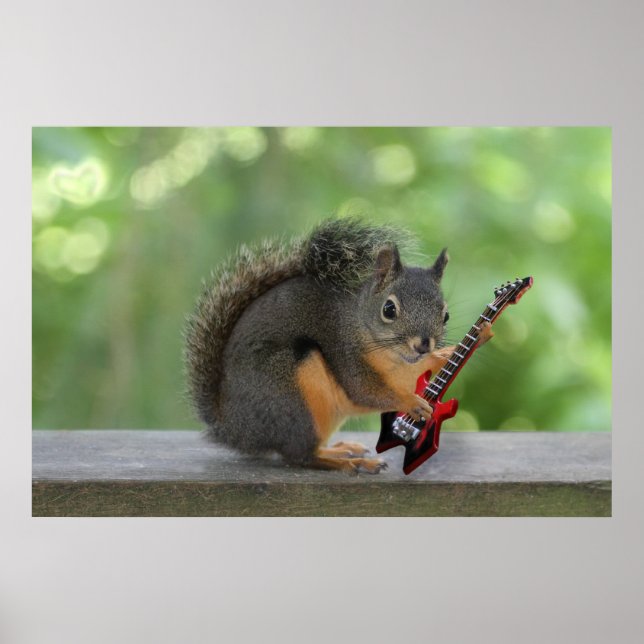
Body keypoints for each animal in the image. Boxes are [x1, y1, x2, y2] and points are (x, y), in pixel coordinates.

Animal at [184, 218, 492, 473]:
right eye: (389, 309)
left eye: (445, 315)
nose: (423, 345)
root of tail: (233, 428)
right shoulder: (343, 348)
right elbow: (366, 391)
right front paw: (412, 402)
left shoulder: (407, 370)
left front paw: (467, 342)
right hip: (287, 394)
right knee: (299, 456)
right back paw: (349, 463)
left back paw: (341, 450)